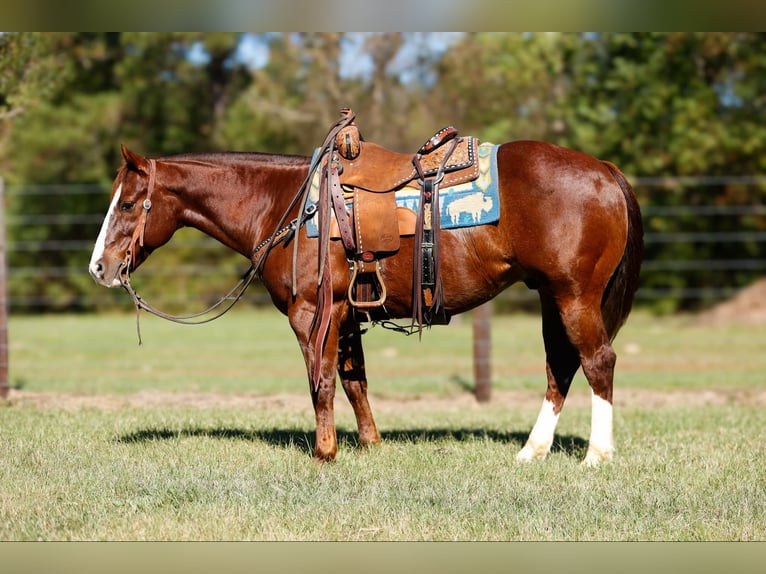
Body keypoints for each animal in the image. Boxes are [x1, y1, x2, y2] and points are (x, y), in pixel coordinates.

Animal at [89, 132, 643, 466]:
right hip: (553, 297)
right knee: (560, 368)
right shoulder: (349, 312)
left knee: (598, 361)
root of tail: (604, 170)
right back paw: (532, 451)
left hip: (575, 296)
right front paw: (370, 444)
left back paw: (596, 455)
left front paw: (325, 452)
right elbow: (354, 381)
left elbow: (322, 381)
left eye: (131, 203)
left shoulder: (313, 313)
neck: (286, 205)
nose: (99, 267)